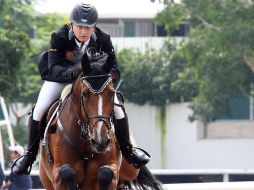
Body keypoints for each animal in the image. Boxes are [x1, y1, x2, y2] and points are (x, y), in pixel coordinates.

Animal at [39, 52, 163, 190]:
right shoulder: (57, 174)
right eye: (85, 94)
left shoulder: (111, 167)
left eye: (112, 93)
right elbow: (66, 172)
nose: (100, 140)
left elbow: (106, 172)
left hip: (130, 169)